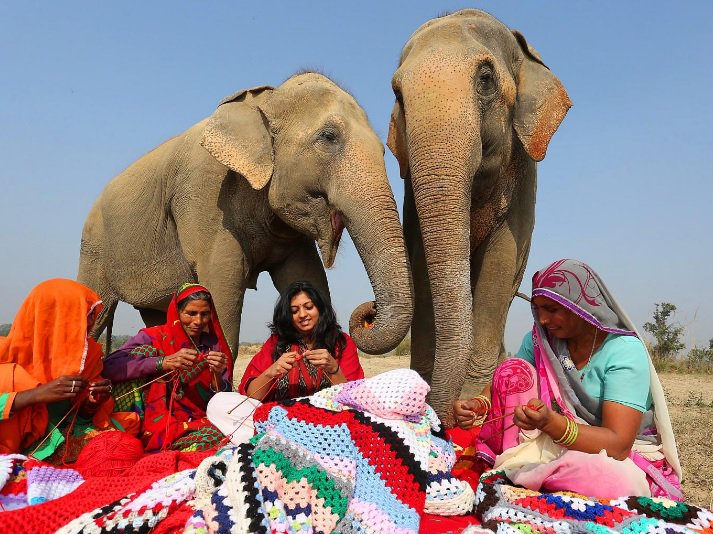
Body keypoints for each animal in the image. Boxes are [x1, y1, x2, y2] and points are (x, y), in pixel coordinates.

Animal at [78, 72, 413, 375]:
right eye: (329, 136)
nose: (369, 311)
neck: (267, 101)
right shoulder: (207, 198)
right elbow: (222, 288)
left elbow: (306, 277)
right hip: (94, 248)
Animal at [386, 9, 571, 425]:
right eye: (398, 95)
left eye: (485, 78)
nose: (446, 417)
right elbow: (422, 265)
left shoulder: (522, 183)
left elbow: (498, 266)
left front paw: (473, 407)